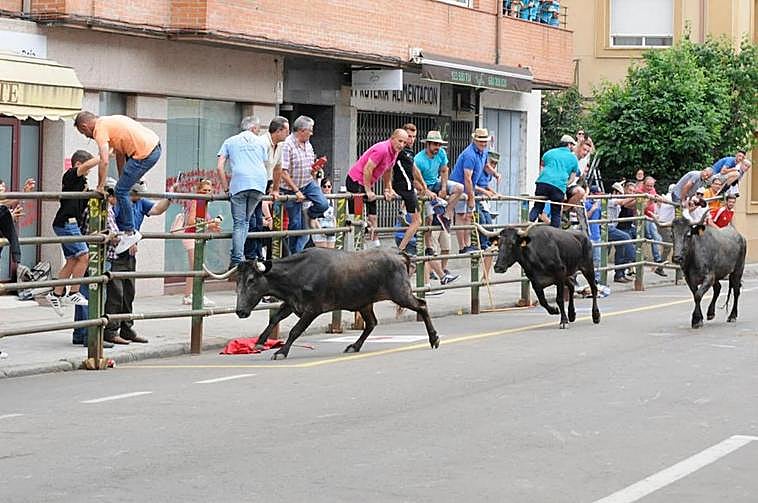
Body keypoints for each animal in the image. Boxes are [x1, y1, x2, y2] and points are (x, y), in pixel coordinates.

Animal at [205, 248, 439, 360]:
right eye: (238, 281)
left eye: (252, 280)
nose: (240, 311)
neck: (297, 274)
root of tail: (398, 254)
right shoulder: (291, 304)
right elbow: (274, 320)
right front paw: (260, 342)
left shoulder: (312, 310)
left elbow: (295, 331)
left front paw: (281, 352)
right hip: (365, 303)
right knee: (371, 323)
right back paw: (354, 346)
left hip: (400, 294)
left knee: (422, 305)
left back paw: (434, 338)